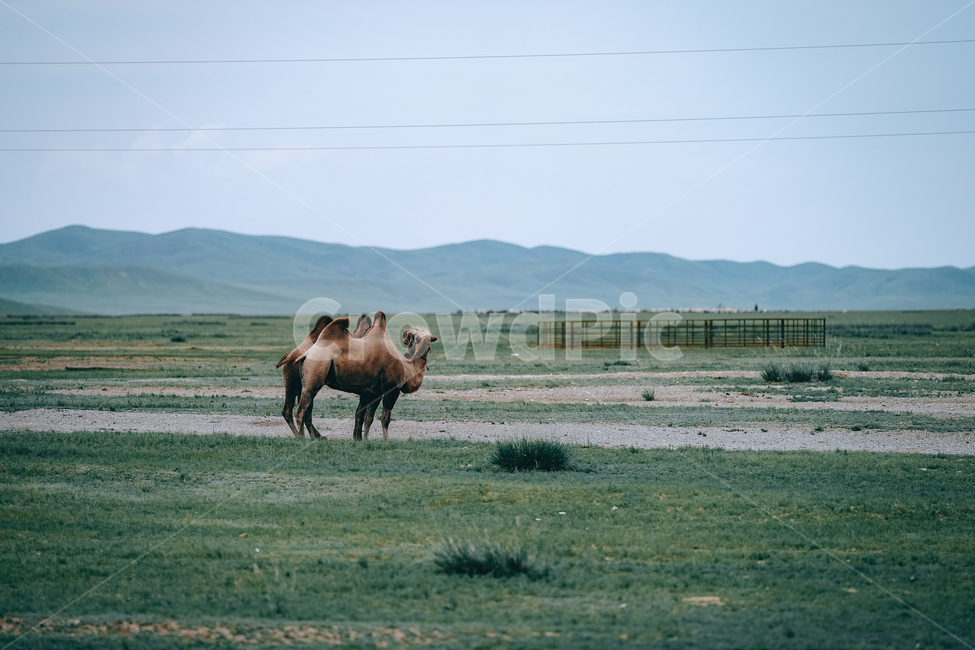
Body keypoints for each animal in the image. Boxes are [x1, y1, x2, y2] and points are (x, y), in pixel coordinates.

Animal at [294, 311, 437, 440]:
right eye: (413, 335)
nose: (405, 333)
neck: (408, 367)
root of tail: (306, 354)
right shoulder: (392, 389)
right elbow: (385, 418)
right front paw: (385, 441)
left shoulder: (375, 392)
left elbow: (368, 417)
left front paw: (365, 439)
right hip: (314, 374)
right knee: (300, 411)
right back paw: (301, 438)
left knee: (306, 411)